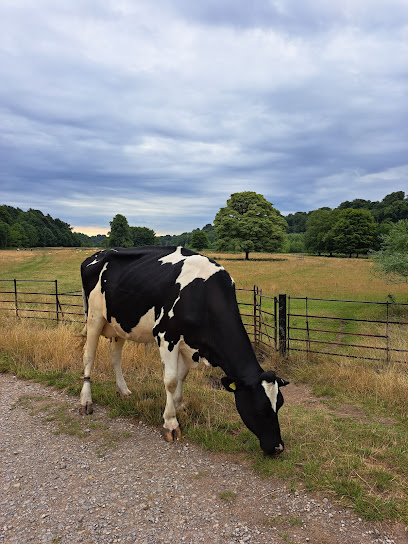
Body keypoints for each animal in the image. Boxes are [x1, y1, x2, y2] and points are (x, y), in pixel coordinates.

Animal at [79, 246, 288, 454]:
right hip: (94, 317)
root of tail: (97, 254)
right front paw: (170, 423)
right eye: (260, 408)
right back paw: (85, 402)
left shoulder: (190, 346)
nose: (278, 447)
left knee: (115, 356)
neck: (201, 295)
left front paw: (179, 406)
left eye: (280, 404)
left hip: (118, 325)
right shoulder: (166, 337)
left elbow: (181, 377)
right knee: (88, 356)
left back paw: (123, 390)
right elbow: (171, 381)